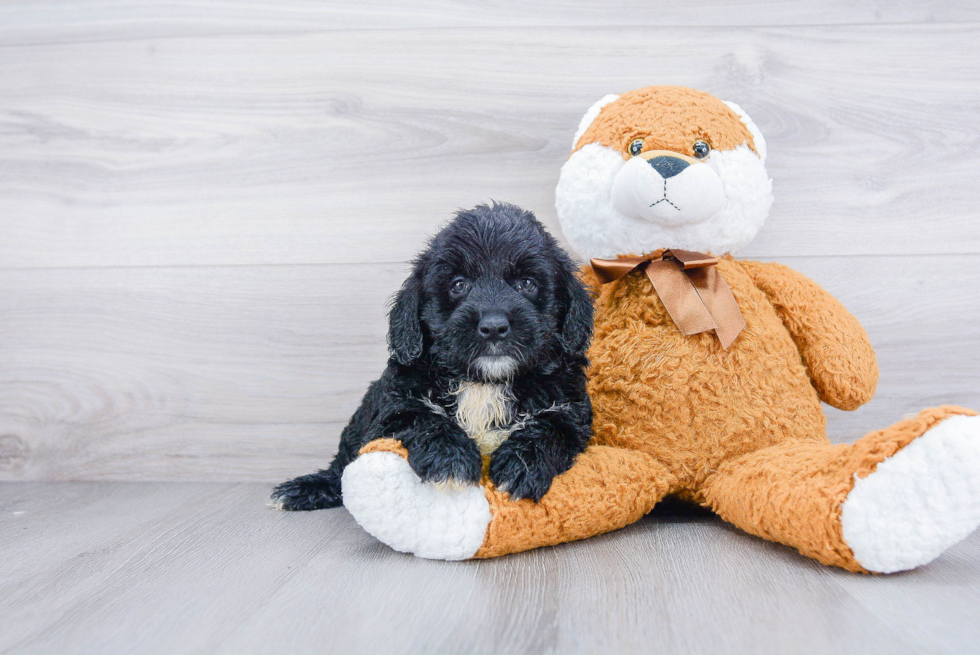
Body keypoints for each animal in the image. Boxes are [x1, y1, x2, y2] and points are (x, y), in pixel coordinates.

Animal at [276, 202, 592, 510]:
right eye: (458, 284)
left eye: (527, 283)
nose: (493, 326)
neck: (485, 382)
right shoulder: (394, 405)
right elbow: (422, 419)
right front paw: (451, 460)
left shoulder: (571, 407)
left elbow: (550, 428)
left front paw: (521, 466)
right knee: (341, 466)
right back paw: (308, 488)